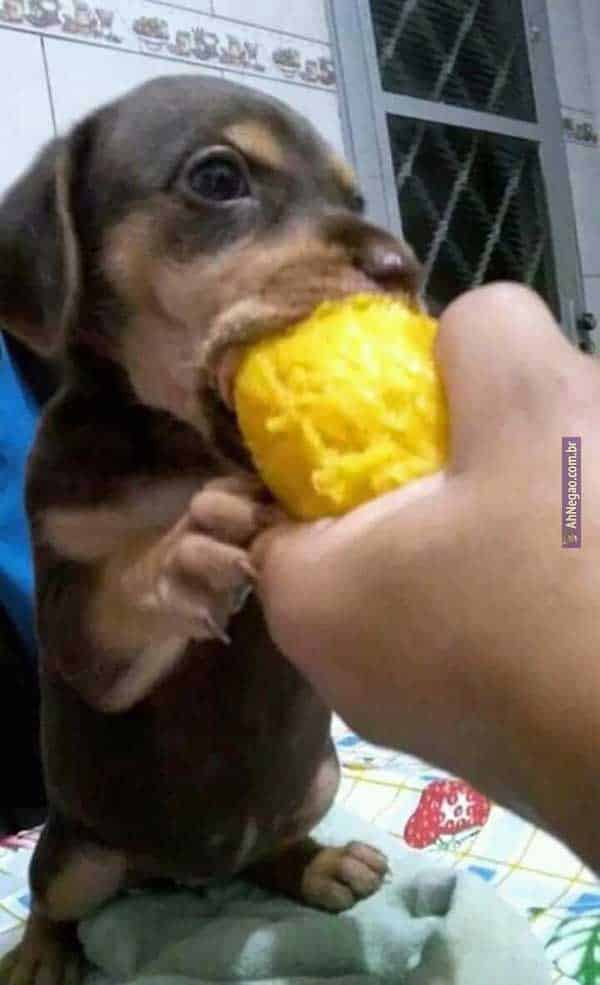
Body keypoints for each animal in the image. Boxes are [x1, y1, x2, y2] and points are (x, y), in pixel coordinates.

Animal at [0, 75, 421, 985]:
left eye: (352, 198)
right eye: (219, 178)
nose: (404, 268)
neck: (180, 449)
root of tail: (187, 874)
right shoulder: (76, 617)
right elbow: (124, 591)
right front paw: (190, 554)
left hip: (315, 779)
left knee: (270, 847)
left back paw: (317, 864)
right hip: (80, 850)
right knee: (57, 898)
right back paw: (41, 952)